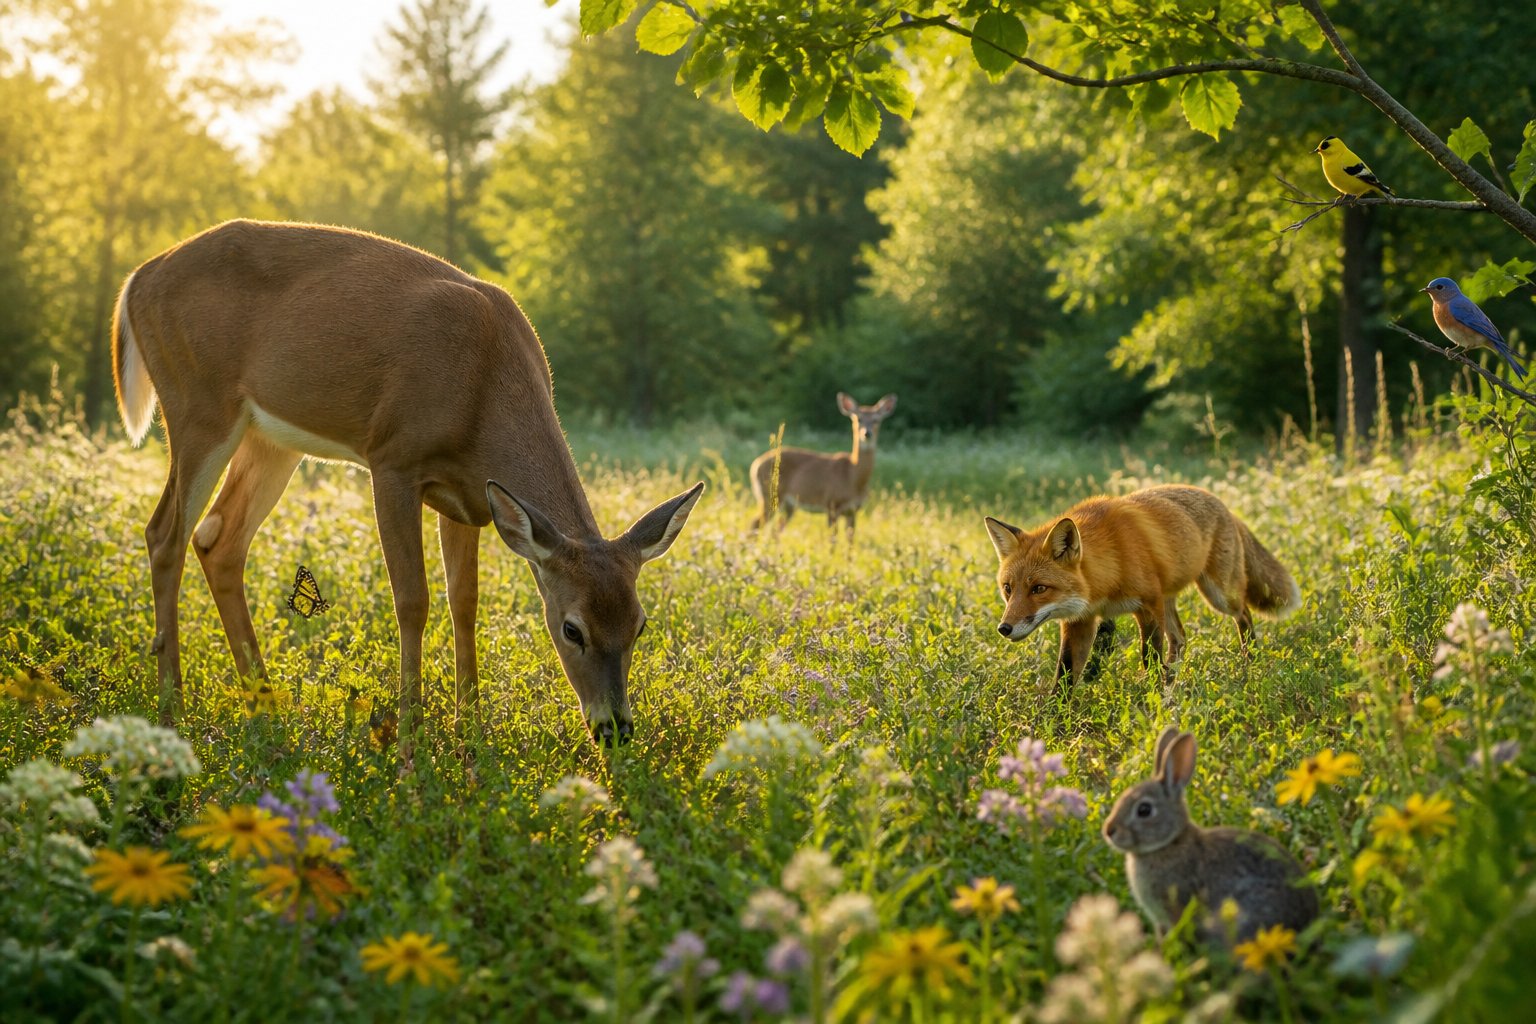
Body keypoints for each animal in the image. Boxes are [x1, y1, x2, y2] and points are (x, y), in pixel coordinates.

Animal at [111, 219, 704, 749]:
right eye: (571, 628)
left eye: (640, 625)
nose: (614, 730)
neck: (483, 386)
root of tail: (137, 279)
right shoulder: (392, 460)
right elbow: (413, 600)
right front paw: (410, 750)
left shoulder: (469, 498)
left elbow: (465, 601)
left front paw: (472, 737)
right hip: (198, 404)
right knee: (164, 533)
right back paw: (172, 715)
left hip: (270, 438)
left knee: (219, 540)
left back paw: (268, 711)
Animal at [749, 393, 896, 542]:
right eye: (858, 418)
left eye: (876, 420)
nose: (867, 433)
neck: (852, 477)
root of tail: (755, 465)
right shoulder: (831, 505)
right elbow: (832, 540)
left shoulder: (853, 511)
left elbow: (850, 542)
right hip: (770, 496)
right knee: (755, 523)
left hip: (788, 505)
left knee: (775, 530)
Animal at [983, 484, 1300, 684]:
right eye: (1008, 589)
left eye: (1039, 588)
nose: (1004, 629)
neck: (1108, 575)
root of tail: (1224, 505)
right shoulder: (1080, 620)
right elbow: (1065, 675)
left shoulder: (1147, 606)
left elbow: (1149, 658)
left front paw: (1150, 700)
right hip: (1168, 599)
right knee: (1181, 638)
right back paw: (1173, 681)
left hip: (1218, 594)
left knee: (1243, 614)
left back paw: (1250, 662)